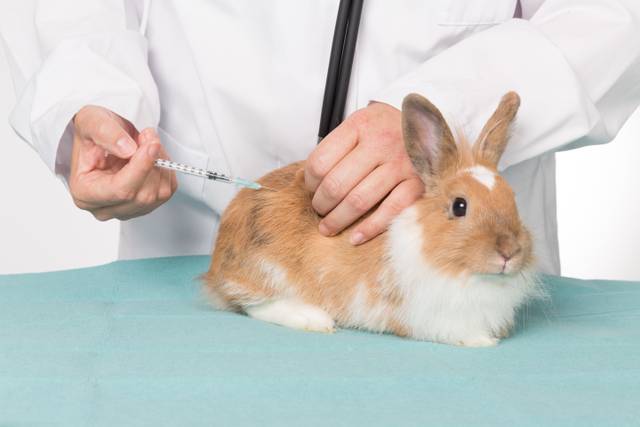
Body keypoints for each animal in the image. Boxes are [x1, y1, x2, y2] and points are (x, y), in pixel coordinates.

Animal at [201, 91, 544, 347]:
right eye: (460, 206)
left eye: (512, 198)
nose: (509, 253)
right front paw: (482, 341)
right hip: (266, 270)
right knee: (253, 304)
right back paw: (314, 319)